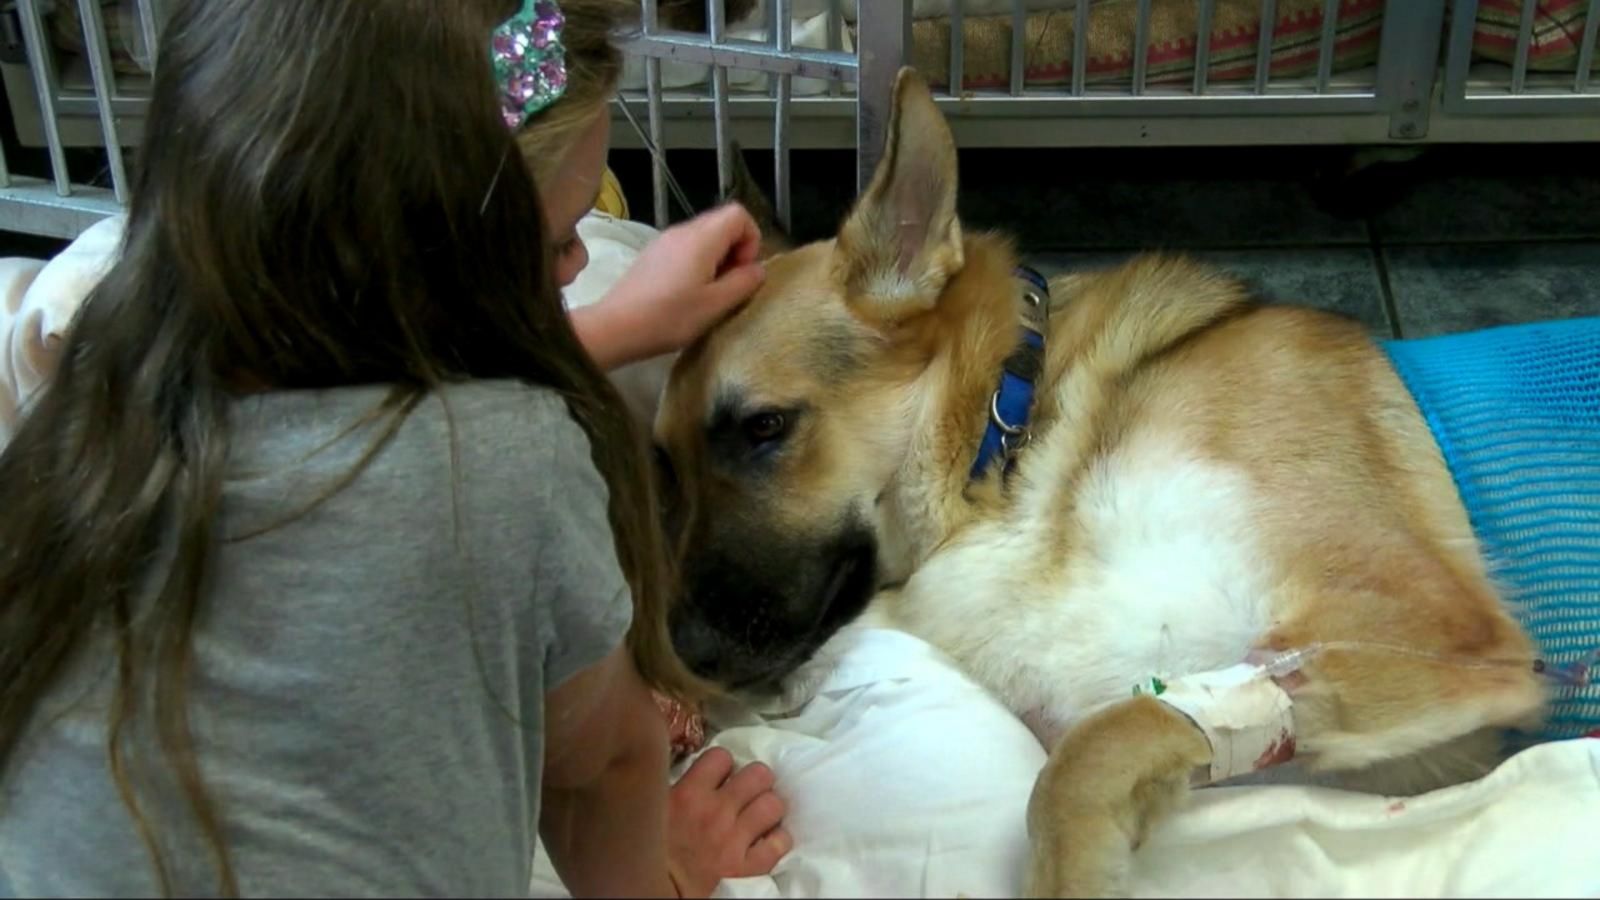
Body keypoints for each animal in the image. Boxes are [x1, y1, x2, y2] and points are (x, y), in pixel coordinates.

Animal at [643, 66, 1593, 890]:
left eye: (764, 428)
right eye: (666, 466)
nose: (677, 659)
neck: (1011, 455)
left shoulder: (1433, 635)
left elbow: (1086, 754)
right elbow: (1139, 728)